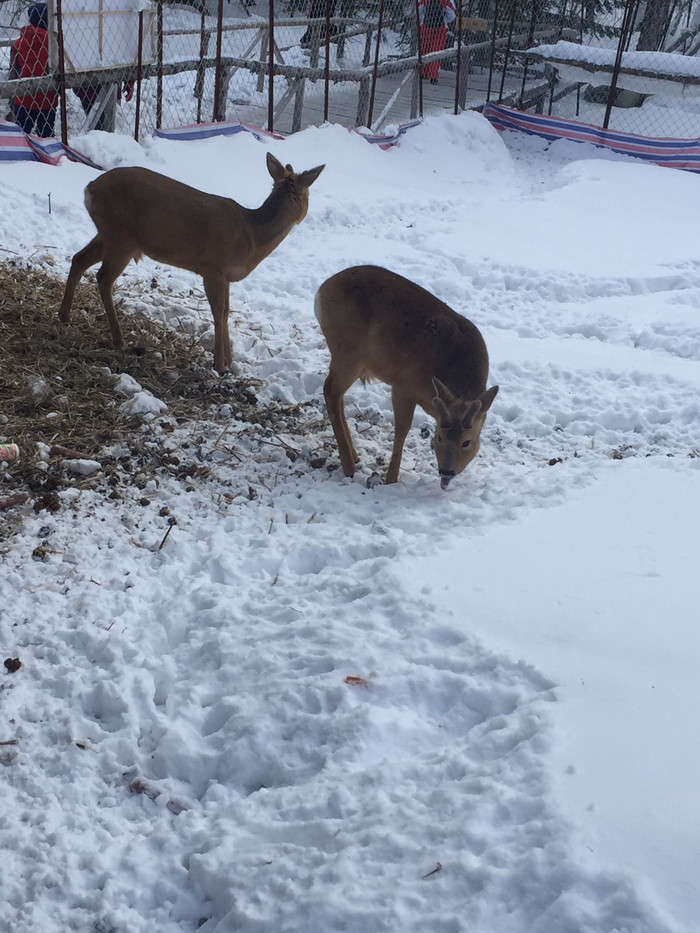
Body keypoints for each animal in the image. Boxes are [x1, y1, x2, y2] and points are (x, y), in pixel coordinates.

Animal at [57, 152, 326, 372]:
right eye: (309, 194)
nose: (304, 215)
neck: (253, 236)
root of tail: (90, 189)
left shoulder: (226, 276)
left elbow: (226, 312)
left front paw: (230, 361)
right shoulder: (213, 268)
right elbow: (218, 312)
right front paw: (220, 365)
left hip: (109, 234)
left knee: (79, 259)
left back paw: (64, 316)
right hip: (121, 237)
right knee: (103, 278)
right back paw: (118, 338)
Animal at [314, 264, 500, 488]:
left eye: (467, 442)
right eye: (438, 437)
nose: (446, 472)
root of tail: (321, 290)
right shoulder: (403, 386)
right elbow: (402, 429)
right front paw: (391, 480)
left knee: (337, 394)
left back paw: (354, 455)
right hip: (347, 352)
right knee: (330, 391)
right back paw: (349, 466)